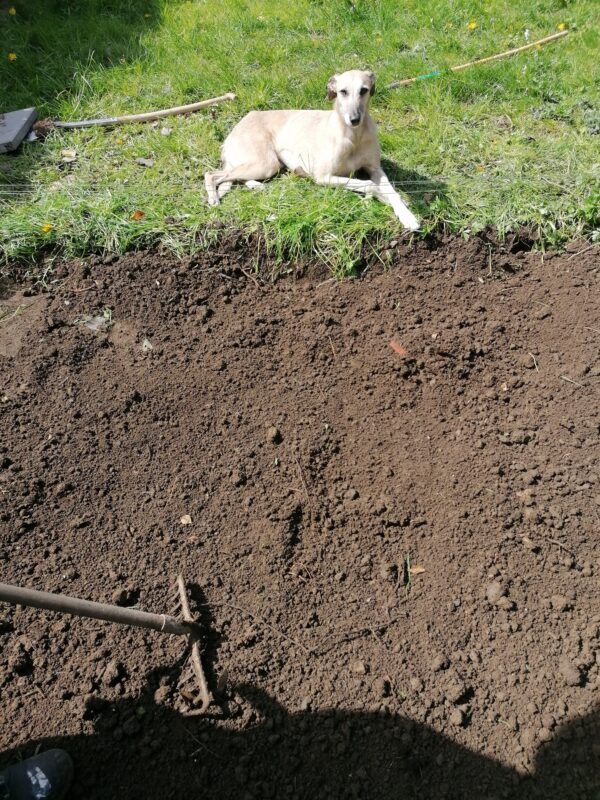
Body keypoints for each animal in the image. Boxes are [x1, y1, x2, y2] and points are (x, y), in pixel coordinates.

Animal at [204, 70, 420, 230]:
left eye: (364, 90)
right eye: (343, 91)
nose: (354, 119)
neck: (353, 137)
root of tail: (242, 121)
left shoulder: (375, 168)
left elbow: (391, 191)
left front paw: (407, 215)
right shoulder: (323, 176)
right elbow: (369, 185)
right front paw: (381, 196)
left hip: (265, 165)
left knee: (234, 177)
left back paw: (255, 186)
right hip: (264, 163)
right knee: (212, 174)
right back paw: (214, 198)